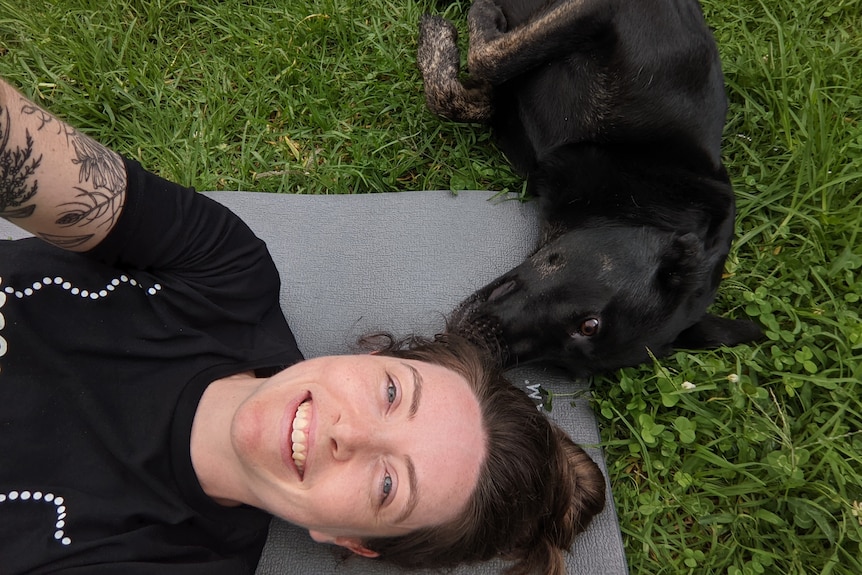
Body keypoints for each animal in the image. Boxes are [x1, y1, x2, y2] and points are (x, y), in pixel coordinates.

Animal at [418, 1, 764, 378]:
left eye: (569, 365)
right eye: (590, 325)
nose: (473, 359)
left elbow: (467, 94)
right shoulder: (605, 9)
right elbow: (488, 61)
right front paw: (453, 30)